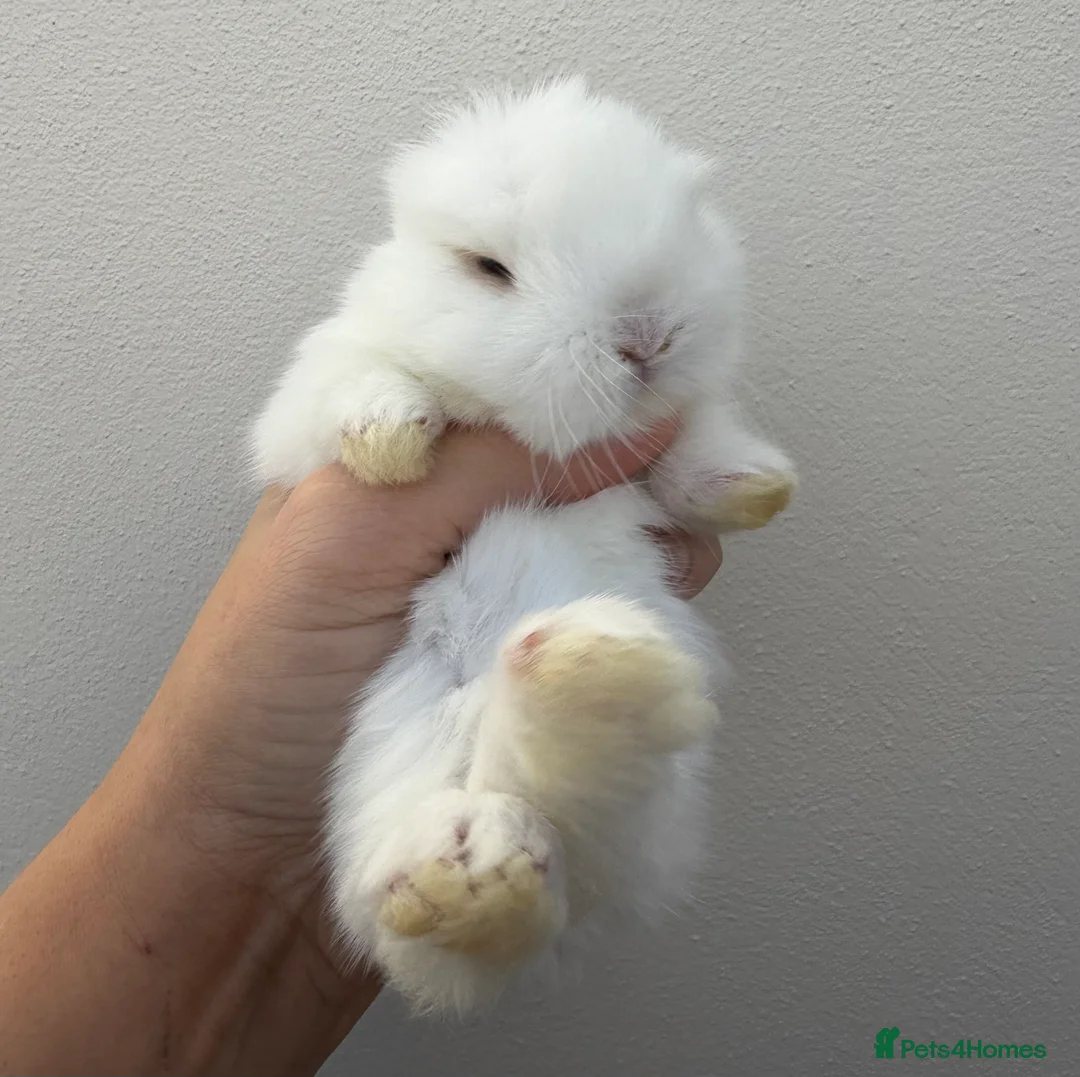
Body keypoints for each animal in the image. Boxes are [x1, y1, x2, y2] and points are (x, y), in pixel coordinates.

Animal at [253, 76, 795, 1015]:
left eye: (689, 218)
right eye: (489, 269)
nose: (647, 337)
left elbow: (692, 451)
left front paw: (754, 485)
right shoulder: (307, 413)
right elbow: (356, 387)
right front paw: (394, 442)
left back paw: (587, 686)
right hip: (401, 755)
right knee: (432, 928)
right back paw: (476, 852)